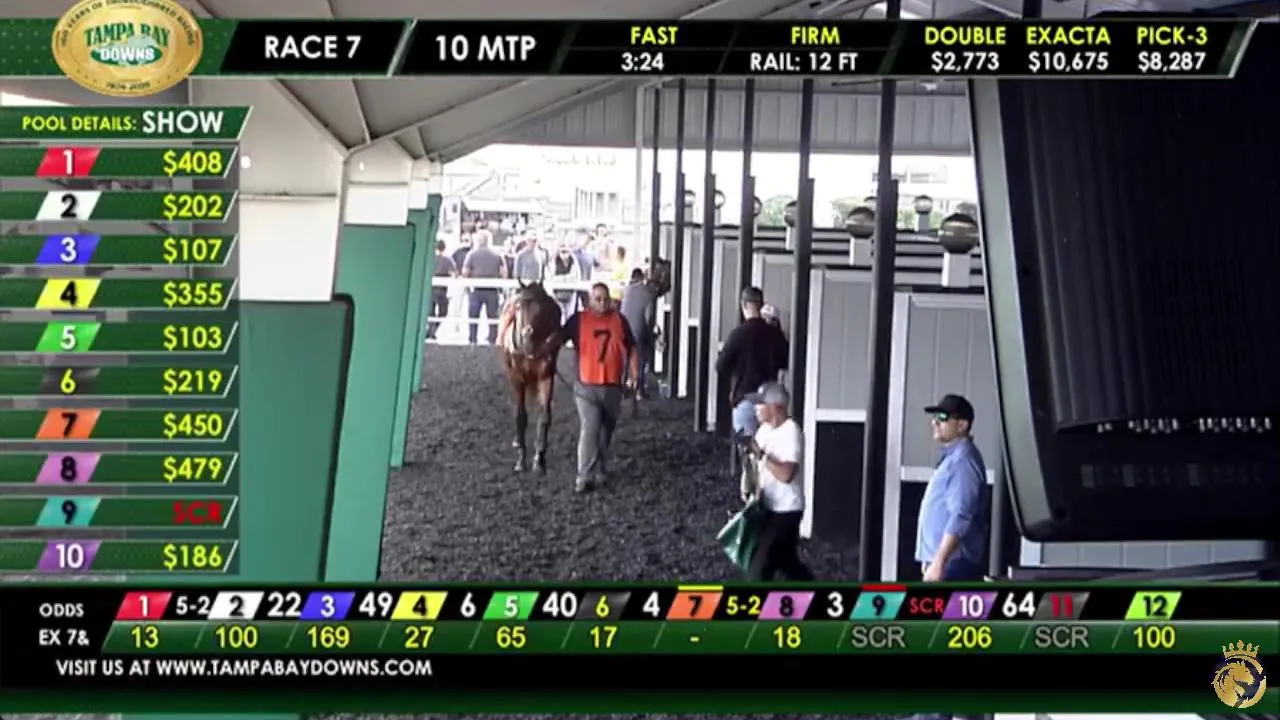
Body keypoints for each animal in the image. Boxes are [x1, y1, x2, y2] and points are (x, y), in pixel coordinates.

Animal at [498, 280, 564, 474]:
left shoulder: (546, 376)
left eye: (542, 307)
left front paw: (539, 459)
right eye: (519, 307)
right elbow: (520, 416)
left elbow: (544, 416)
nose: (526, 333)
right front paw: (521, 460)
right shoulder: (517, 378)